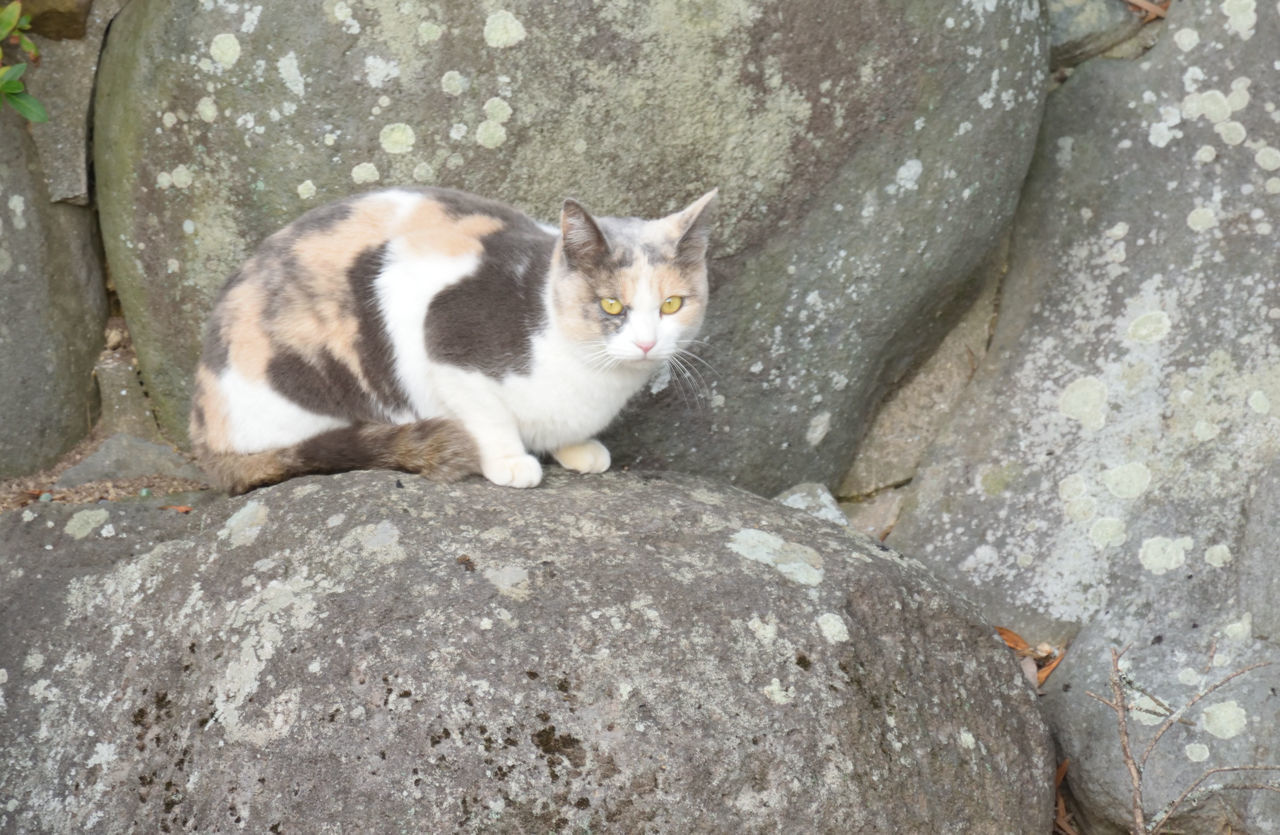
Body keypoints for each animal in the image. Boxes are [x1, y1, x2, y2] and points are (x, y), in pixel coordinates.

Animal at [186, 185, 716, 491]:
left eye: (672, 305)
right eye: (611, 306)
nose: (647, 343)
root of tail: (203, 433)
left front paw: (577, 446)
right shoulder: (441, 333)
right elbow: (488, 415)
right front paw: (511, 461)